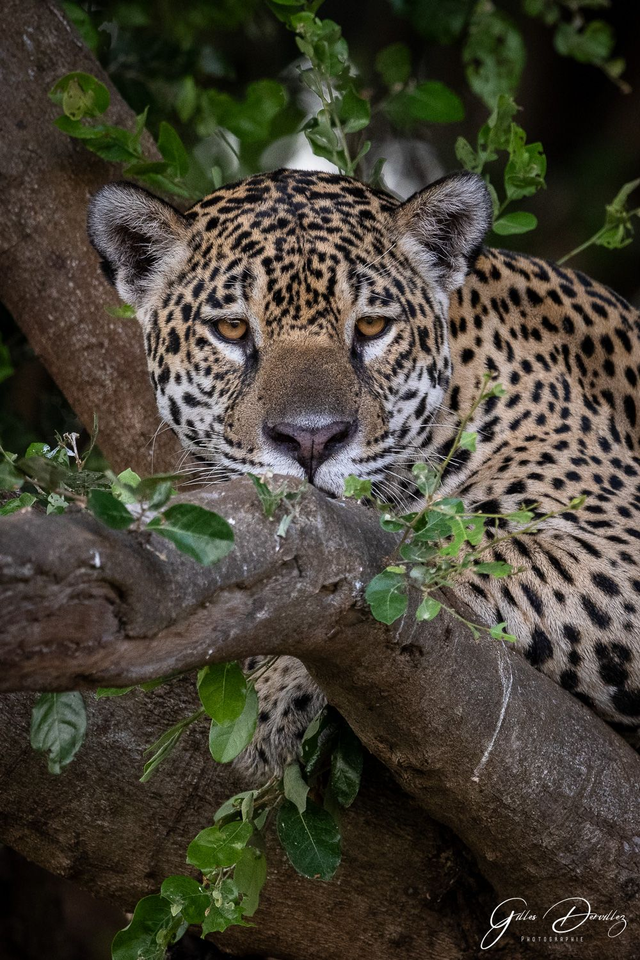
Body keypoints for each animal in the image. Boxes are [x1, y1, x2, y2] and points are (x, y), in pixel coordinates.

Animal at [88, 167, 640, 776]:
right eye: (232, 330)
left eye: (373, 325)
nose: (310, 439)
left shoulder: (616, 547)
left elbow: (445, 549)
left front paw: (275, 685)